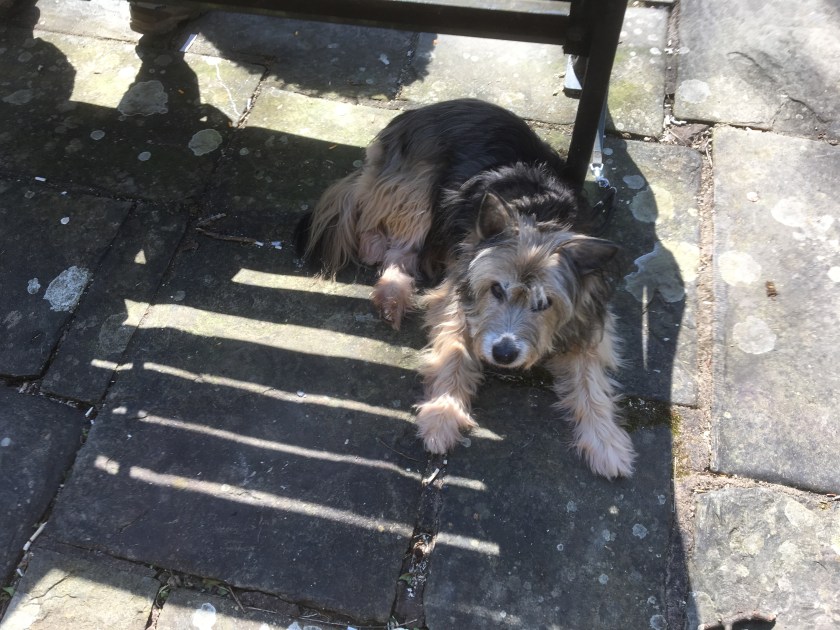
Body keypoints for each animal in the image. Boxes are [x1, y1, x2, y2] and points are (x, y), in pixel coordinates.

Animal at [295, 99, 635, 479]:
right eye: (495, 290)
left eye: (545, 303)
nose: (503, 354)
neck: (538, 215)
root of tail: (418, 113)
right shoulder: (457, 295)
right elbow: (455, 352)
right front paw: (442, 417)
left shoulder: (588, 319)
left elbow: (591, 379)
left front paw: (605, 441)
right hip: (418, 189)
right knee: (397, 243)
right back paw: (390, 290)